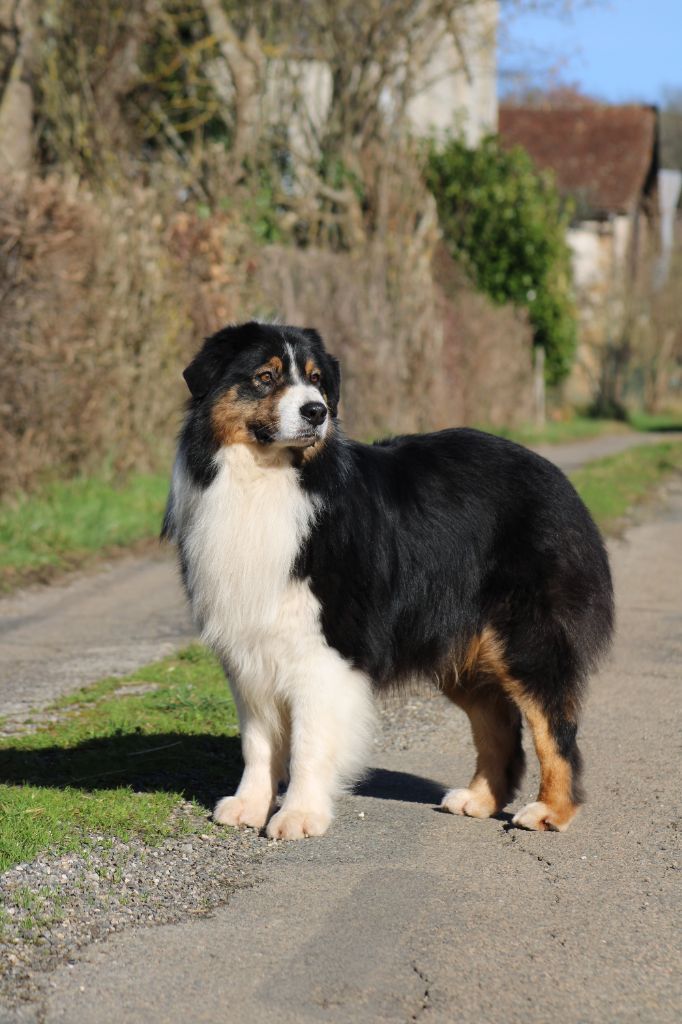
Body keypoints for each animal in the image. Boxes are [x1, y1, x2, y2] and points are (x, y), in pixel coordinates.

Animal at [161, 321, 614, 839]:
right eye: (265, 376)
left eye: (316, 380)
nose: (316, 411)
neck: (268, 480)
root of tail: (556, 480)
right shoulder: (249, 647)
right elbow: (257, 741)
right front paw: (248, 806)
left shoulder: (326, 649)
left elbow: (310, 742)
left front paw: (299, 814)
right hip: (461, 647)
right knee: (498, 722)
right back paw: (479, 799)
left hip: (527, 639)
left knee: (554, 726)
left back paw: (550, 811)